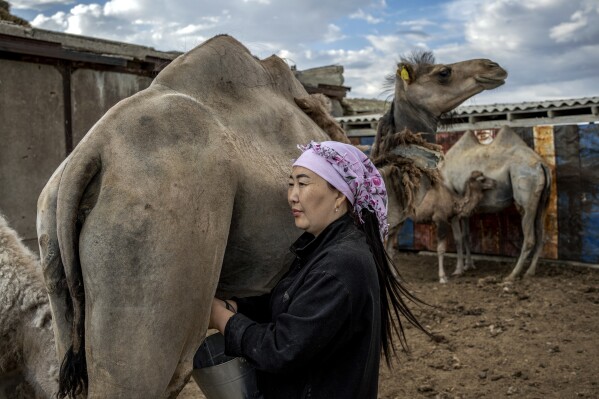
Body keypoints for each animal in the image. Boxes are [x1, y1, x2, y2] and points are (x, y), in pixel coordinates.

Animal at [440, 127, 552, 282]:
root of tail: (541, 164)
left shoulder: (454, 204)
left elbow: (457, 238)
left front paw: (458, 270)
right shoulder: (465, 206)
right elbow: (466, 235)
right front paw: (469, 266)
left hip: (525, 189)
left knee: (529, 236)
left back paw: (512, 275)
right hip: (543, 199)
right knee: (541, 233)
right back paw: (530, 272)